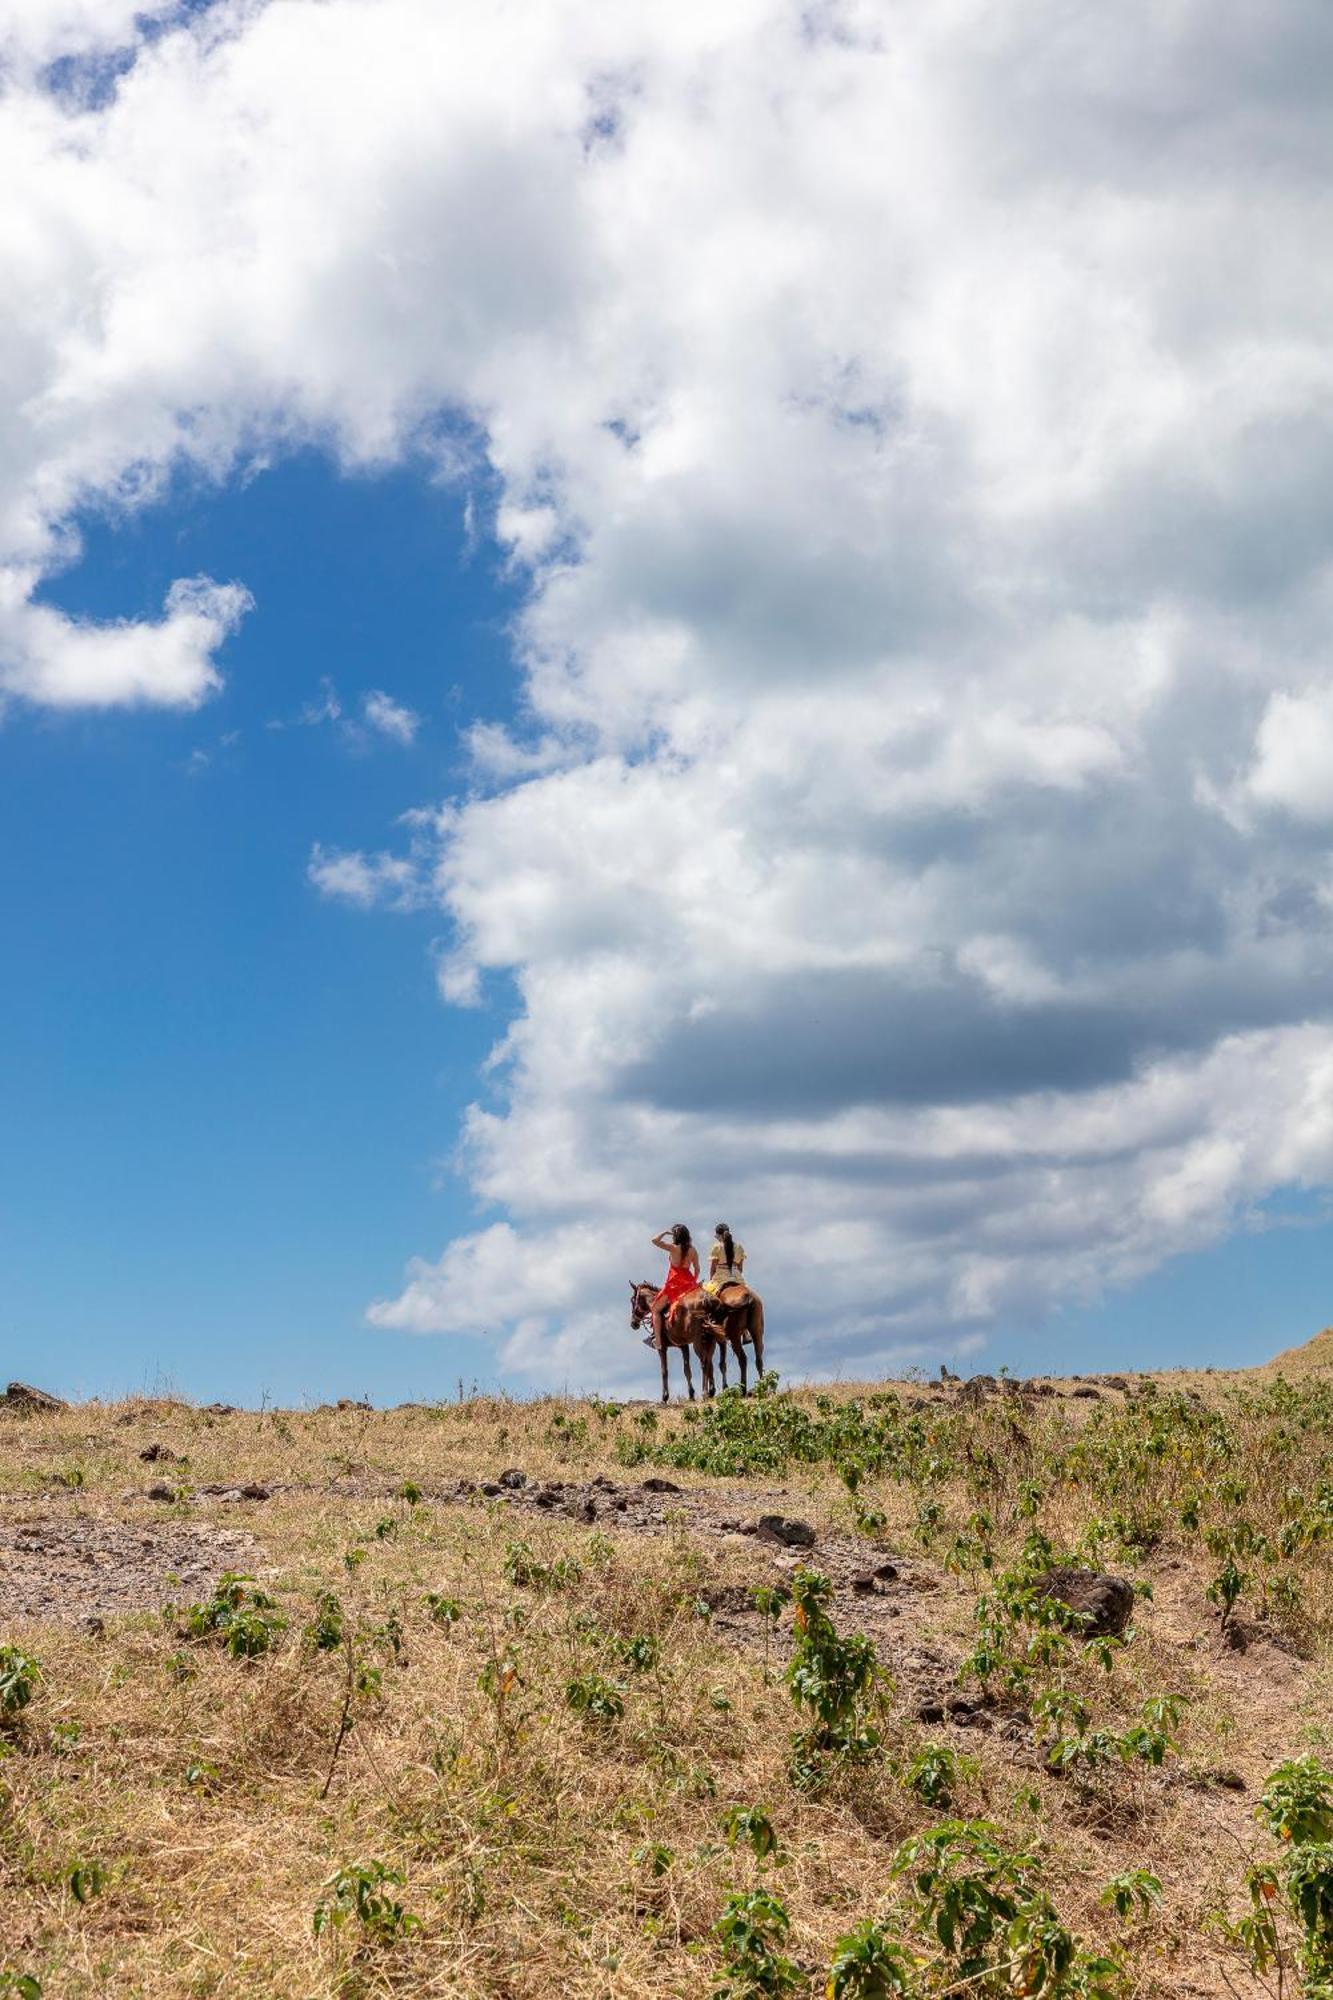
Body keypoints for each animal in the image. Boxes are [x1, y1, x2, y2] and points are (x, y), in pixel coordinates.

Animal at [624, 1280, 716, 1408]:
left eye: (633, 1300)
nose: (633, 1323)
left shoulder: (662, 1347)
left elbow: (664, 1371)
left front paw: (665, 1397)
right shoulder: (683, 1346)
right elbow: (687, 1370)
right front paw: (691, 1395)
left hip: (698, 1341)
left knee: (704, 1362)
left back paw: (705, 1393)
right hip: (710, 1340)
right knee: (710, 1361)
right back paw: (711, 1391)